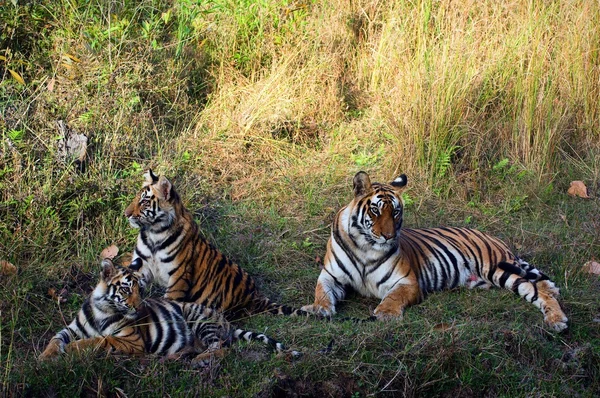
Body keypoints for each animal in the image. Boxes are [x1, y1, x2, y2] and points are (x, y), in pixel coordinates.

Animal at [38, 256, 296, 366]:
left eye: (140, 289)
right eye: (126, 289)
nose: (138, 306)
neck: (103, 309)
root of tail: (227, 322)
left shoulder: (132, 342)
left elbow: (100, 340)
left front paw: (73, 349)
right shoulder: (71, 329)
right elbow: (55, 339)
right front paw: (44, 357)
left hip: (198, 318)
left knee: (221, 348)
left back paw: (198, 360)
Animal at [123, 169, 310, 318]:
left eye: (144, 202)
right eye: (135, 198)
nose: (126, 214)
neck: (154, 233)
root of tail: (257, 297)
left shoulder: (179, 275)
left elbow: (169, 303)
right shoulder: (142, 266)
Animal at [302, 170, 568, 330]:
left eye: (395, 212)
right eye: (376, 210)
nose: (389, 236)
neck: (364, 248)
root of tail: (494, 238)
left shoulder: (407, 281)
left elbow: (393, 297)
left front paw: (386, 313)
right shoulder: (331, 276)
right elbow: (322, 292)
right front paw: (318, 309)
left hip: (498, 268)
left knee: (535, 290)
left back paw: (557, 320)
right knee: (539, 285)